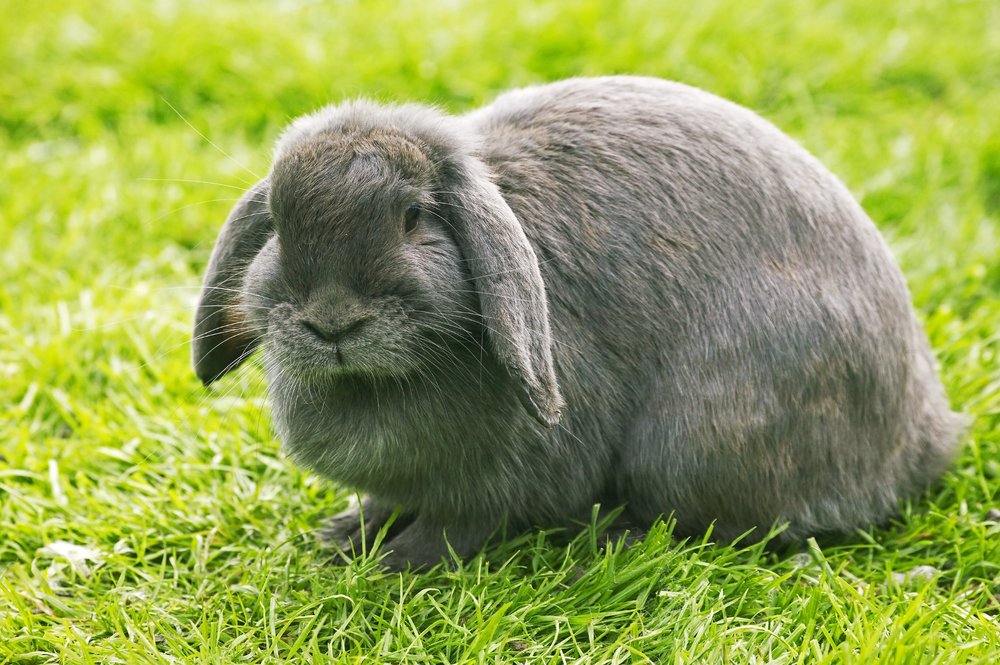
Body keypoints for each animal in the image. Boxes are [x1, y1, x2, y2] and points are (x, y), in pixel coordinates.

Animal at [191, 75, 964, 568]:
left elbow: (458, 523)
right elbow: (388, 501)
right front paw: (347, 534)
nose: (331, 322)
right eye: (279, 225)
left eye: (414, 218)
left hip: (691, 440)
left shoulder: (511, 474)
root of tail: (923, 436)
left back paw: (614, 540)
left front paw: (397, 564)